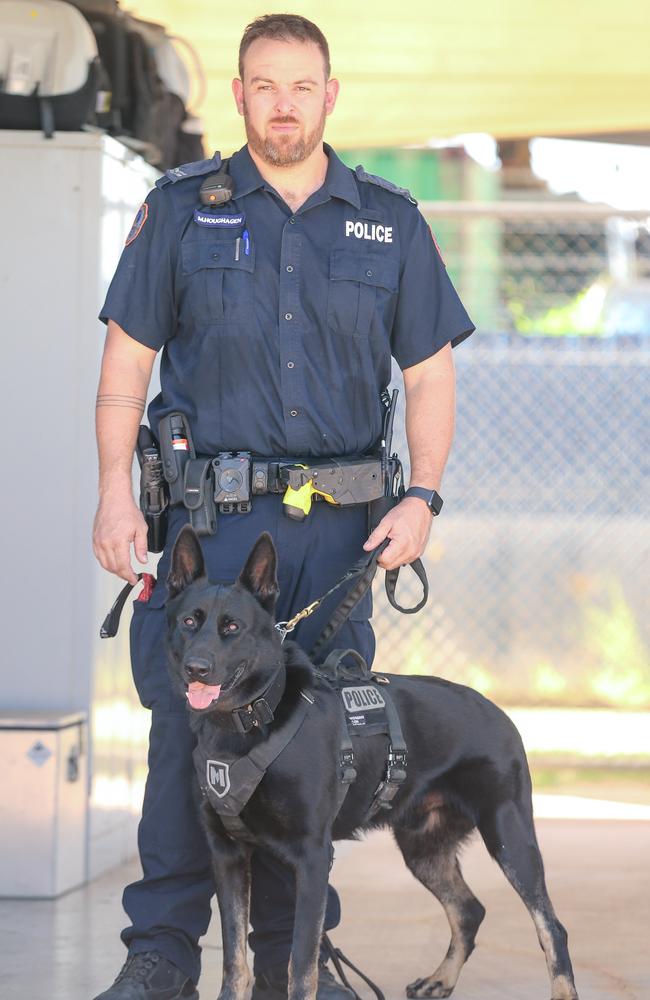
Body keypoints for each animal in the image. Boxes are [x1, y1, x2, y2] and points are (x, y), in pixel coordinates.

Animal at [163, 524, 576, 1000]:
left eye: (232, 627)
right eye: (189, 622)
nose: (196, 668)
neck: (251, 719)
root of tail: (500, 712)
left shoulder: (312, 857)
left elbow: (300, 964)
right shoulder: (228, 856)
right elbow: (235, 962)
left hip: (508, 836)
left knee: (551, 926)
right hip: (422, 848)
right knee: (469, 910)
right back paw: (440, 979)